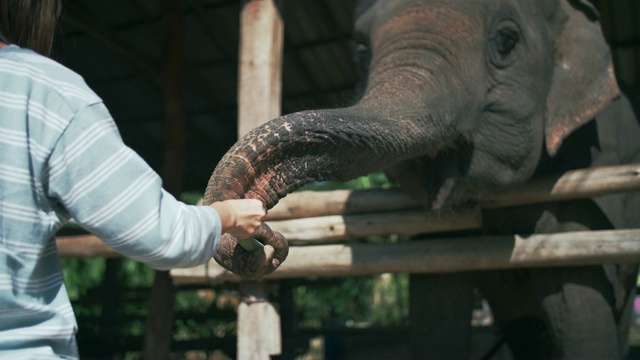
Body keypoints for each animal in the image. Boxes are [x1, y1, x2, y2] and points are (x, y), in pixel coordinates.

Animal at [204, 0, 640, 358]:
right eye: (361, 52)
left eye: (507, 40)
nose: (266, 245)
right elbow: (436, 295)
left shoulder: (591, 172)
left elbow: (578, 298)